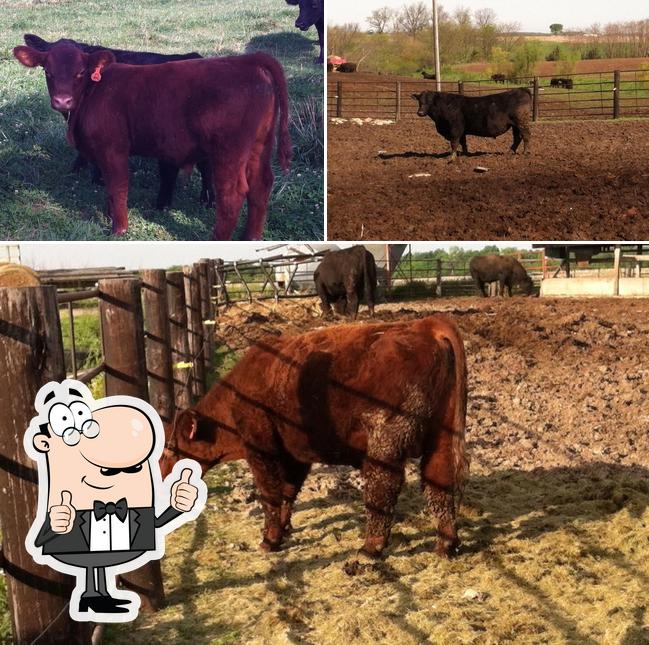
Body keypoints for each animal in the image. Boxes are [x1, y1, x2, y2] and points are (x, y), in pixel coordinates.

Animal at [160, 316, 469, 559]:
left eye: (169, 451)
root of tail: (424, 325)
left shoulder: (261, 447)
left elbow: (270, 493)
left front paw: (269, 539)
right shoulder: (296, 453)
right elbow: (288, 490)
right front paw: (284, 529)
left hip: (385, 442)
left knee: (384, 488)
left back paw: (370, 550)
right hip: (441, 438)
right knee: (439, 482)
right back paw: (446, 544)